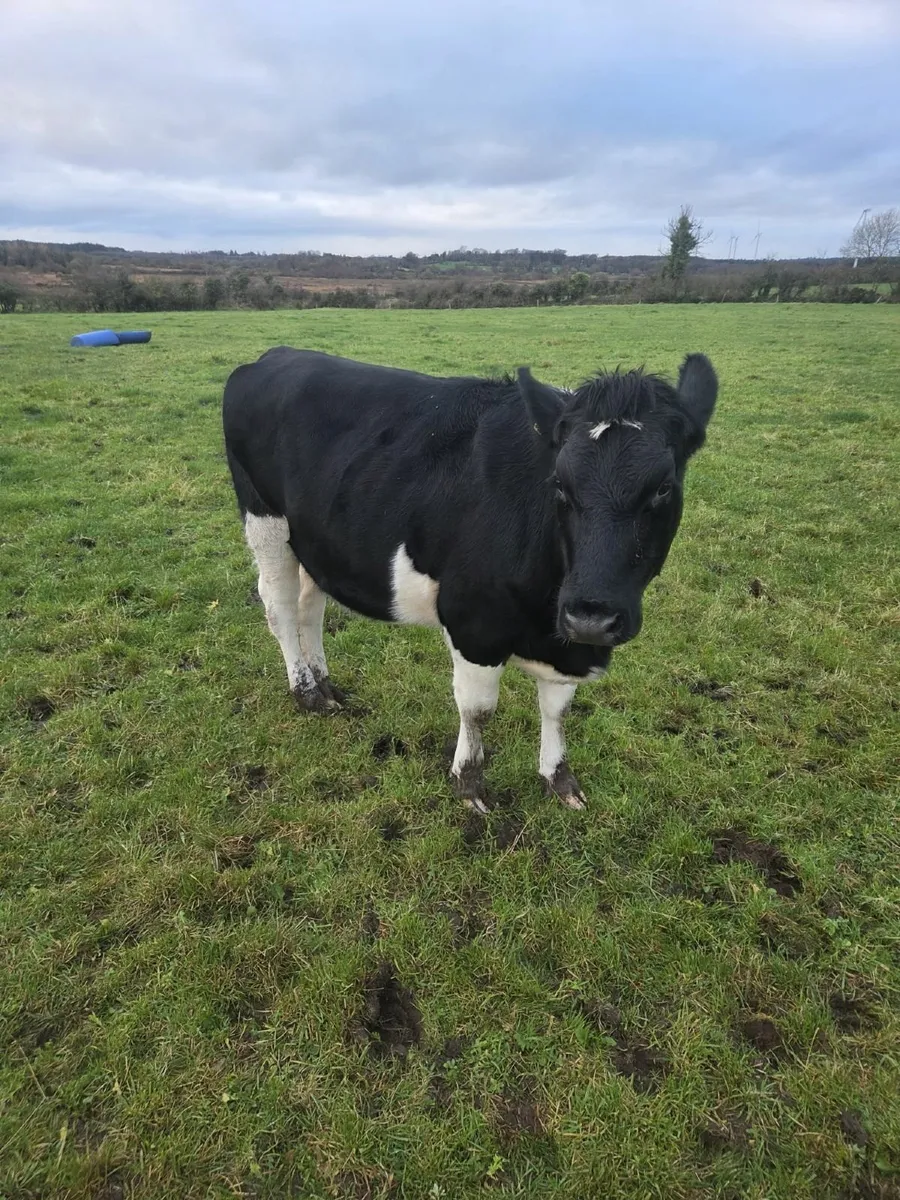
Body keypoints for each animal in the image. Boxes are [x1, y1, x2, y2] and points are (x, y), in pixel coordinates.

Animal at [223, 347, 717, 813]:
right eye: (559, 484)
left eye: (663, 487)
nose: (592, 617)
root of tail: (277, 355)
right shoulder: (473, 622)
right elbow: (477, 711)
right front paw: (470, 783)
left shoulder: (566, 641)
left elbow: (557, 708)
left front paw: (559, 779)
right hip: (265, 519)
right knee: (280, 608)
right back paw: (305, 691)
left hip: (316, 542)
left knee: (311, 606)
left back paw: (325, 685)